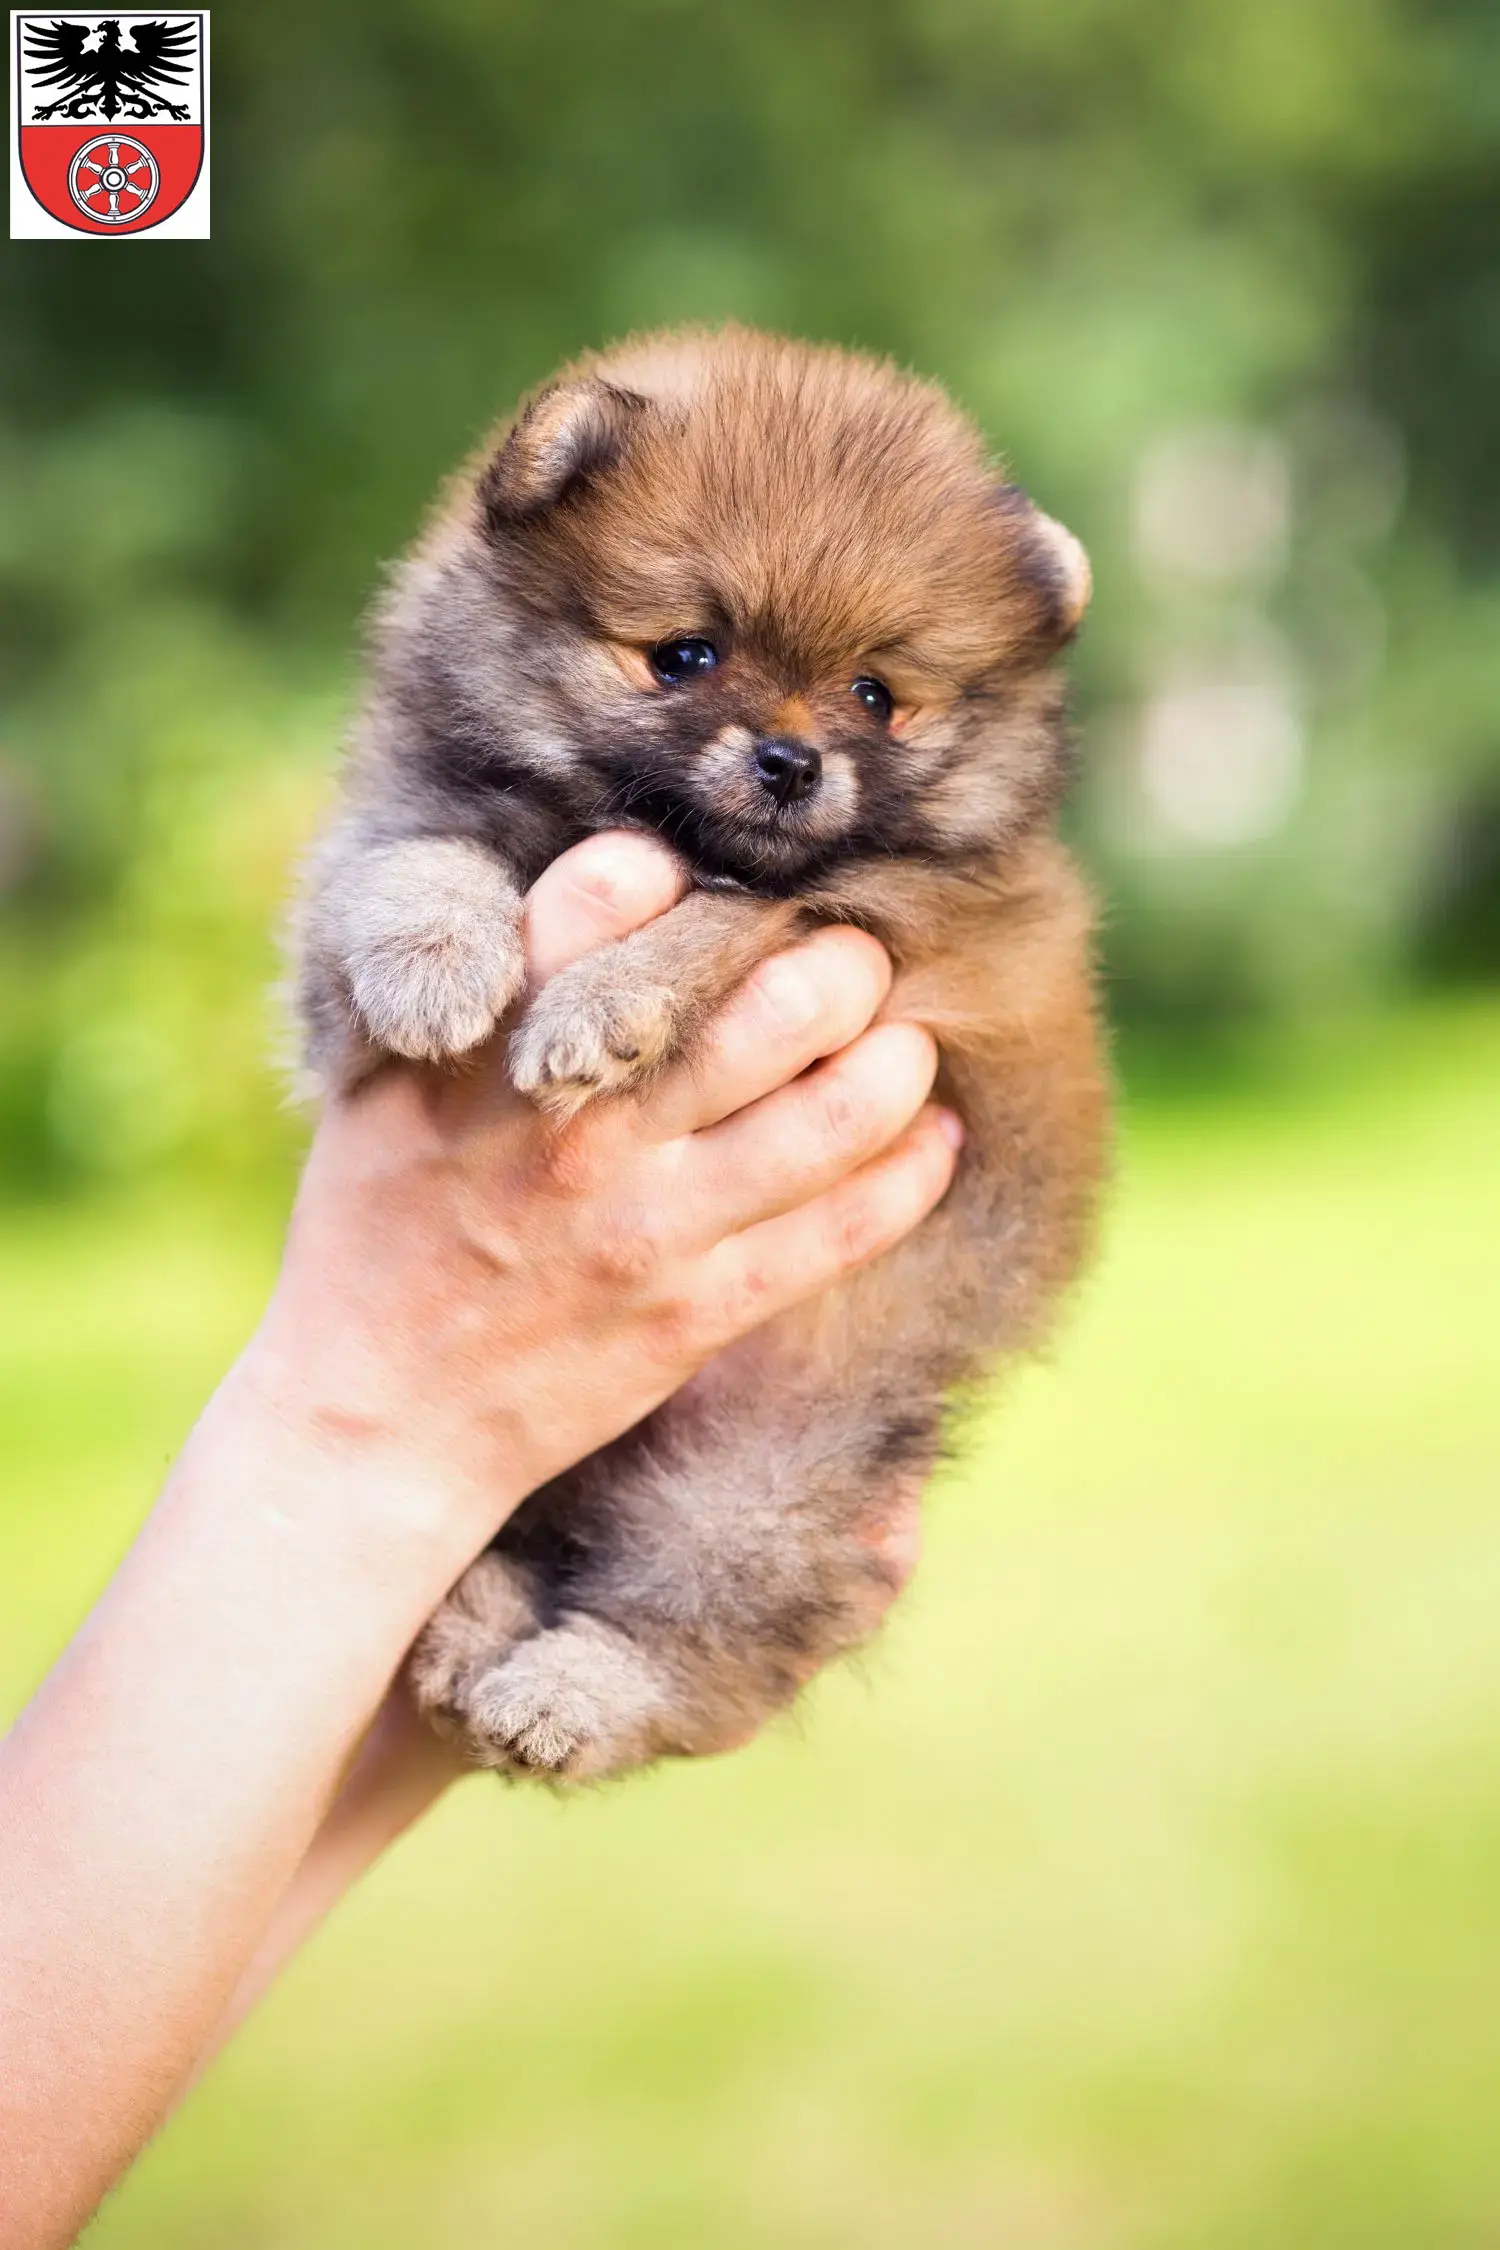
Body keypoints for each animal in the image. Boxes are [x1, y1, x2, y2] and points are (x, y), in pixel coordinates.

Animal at [299, 326, 1110, 1782]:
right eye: (685, 654)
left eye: (876, 695)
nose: (790, 760)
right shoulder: (384, 847)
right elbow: (409, 858)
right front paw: (436, 959)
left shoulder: (900, 924)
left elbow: (728, 913)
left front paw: (599, 1004)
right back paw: (467, 1624)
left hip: (767, 1474)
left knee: (708, 1628)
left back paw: (569, 1690)